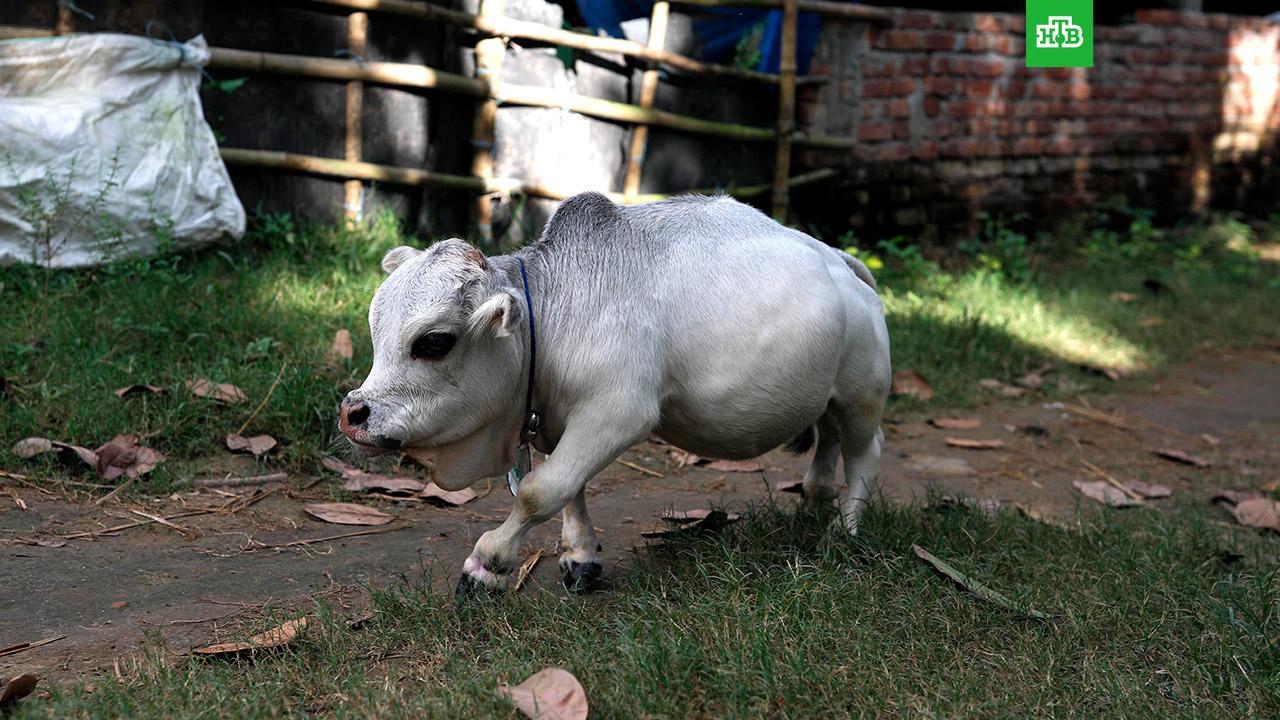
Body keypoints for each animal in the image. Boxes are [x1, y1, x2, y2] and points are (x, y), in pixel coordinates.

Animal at [338, 192, 890, 595]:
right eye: (375, 329)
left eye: (434, 342)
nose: (352, 413)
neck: (552, 313)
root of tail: (839, 260)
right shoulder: (558, 419)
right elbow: (569, 487)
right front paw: (580, 556)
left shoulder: (619, 412)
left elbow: (541, 489)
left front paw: (488, 563)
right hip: (824, 397)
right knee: (828, 441)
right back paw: (815, 499)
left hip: (862, 397)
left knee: (865, 453)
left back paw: (845, 530)